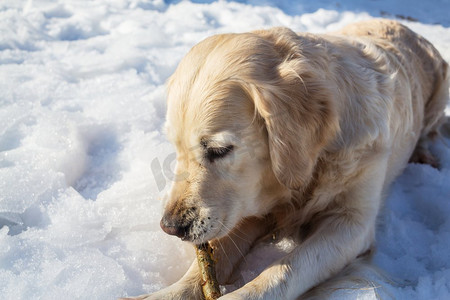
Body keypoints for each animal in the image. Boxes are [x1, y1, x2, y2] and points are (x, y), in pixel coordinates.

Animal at [132, 19, 448, 298]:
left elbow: (287, 268)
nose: (170, 227)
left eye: (219, 150)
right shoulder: (248, 204)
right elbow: (214, 255)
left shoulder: (351, 223)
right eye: (176, 147)